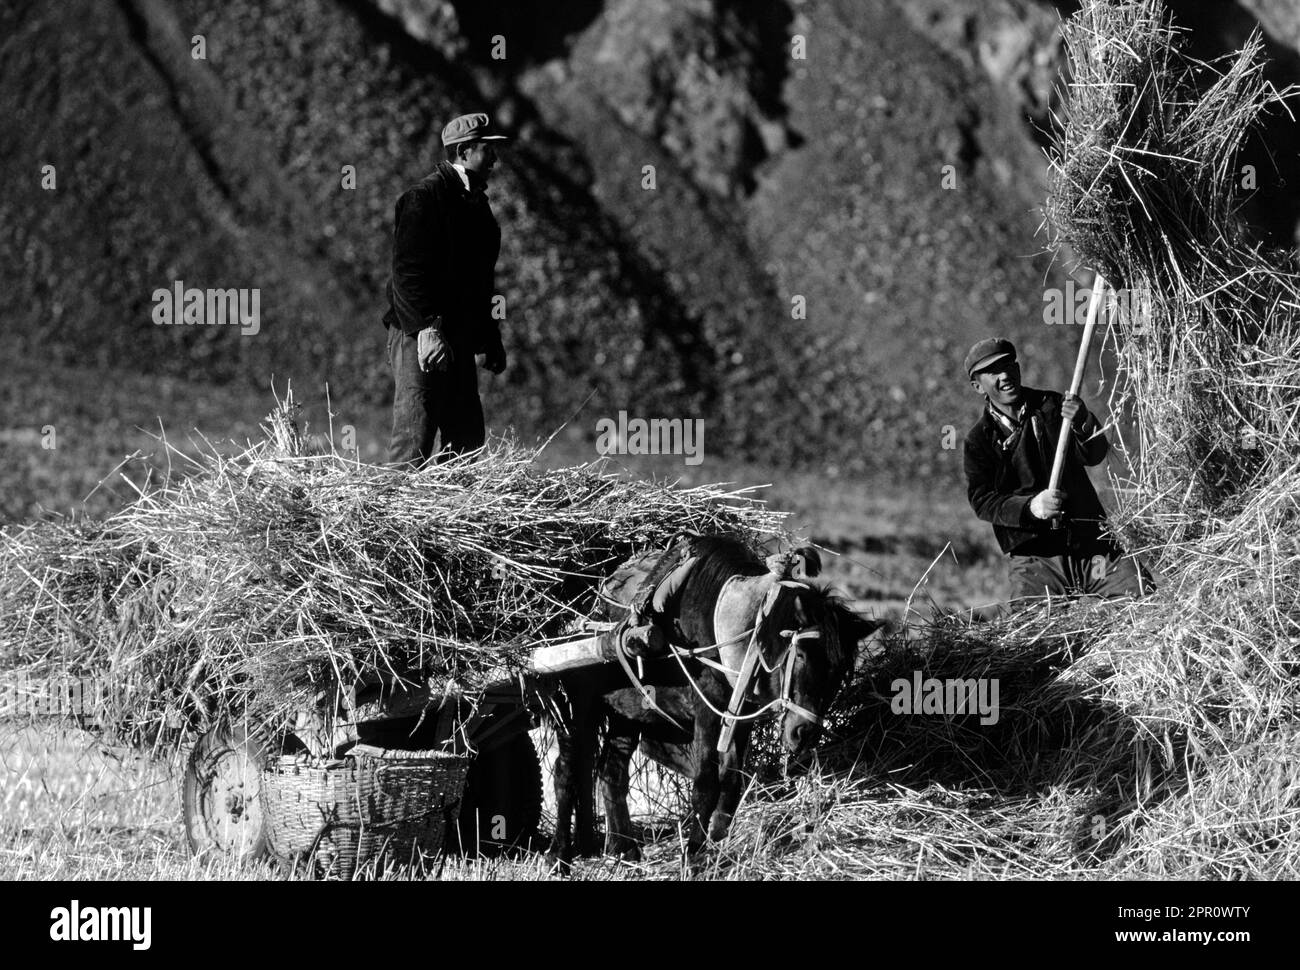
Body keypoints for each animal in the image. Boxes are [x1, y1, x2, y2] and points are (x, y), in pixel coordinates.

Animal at [548, 533, 883, 863]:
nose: (803, 733)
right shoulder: (707, 712)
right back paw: (559, 853)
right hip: (580, 704)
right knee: (567, 769)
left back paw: (623, 848)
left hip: (626, 714)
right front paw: (694, 854)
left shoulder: (740, 715)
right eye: (800, 654)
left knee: (611, 770)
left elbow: (732, 780)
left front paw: (719, 844)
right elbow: (706, 784)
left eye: (841, 670)